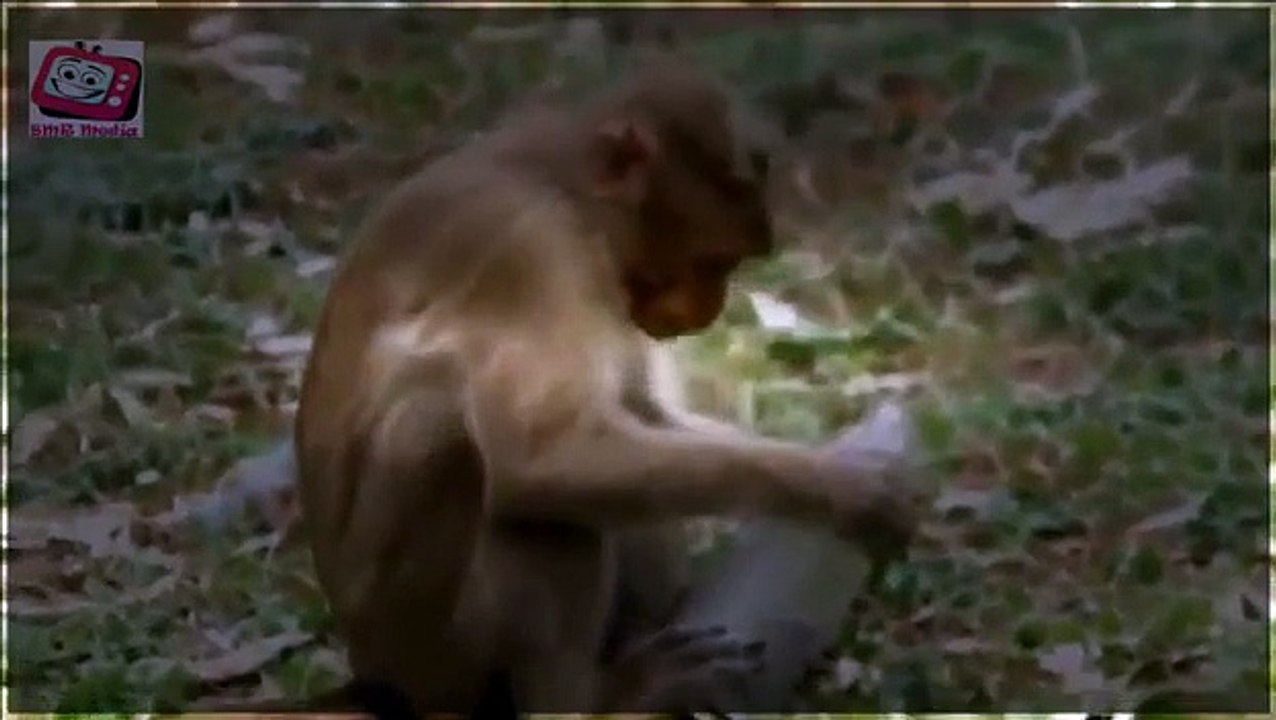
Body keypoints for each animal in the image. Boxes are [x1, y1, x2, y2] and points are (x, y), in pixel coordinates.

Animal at [293, 56, 917, 716]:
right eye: (713, 262)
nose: (710, 309)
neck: (561, 186)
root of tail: (372, 672)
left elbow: (641, 415)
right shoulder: (530, 257)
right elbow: (542, 459)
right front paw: (843, 490)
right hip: (432, 652)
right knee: (476, 462)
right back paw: (604, 697)